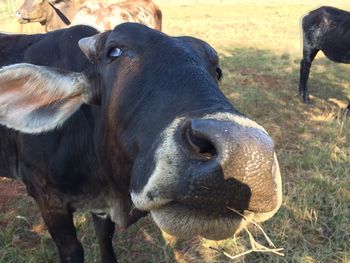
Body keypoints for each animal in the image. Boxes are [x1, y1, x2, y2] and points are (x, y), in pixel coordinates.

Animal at [0, 23, 284, 262]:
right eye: (114, 52)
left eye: (217, 71)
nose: (245, 154)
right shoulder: (47, 198)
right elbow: (72, 251)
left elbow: (105, 236)